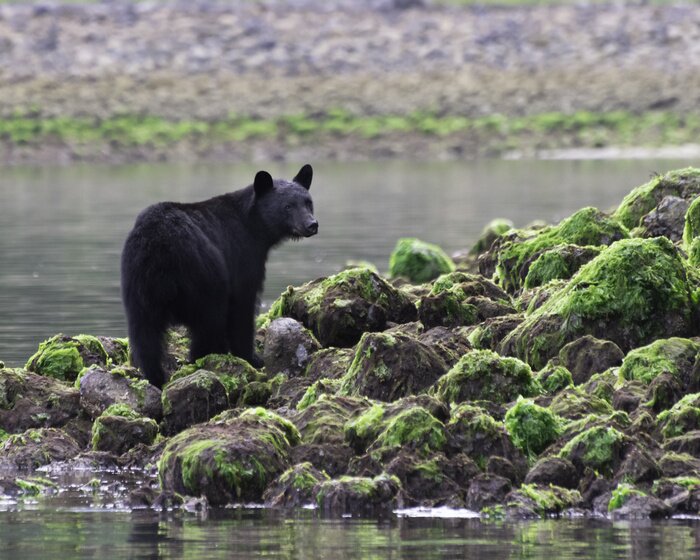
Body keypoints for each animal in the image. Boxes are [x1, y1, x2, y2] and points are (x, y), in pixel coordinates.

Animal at [121, 164, 318, 388]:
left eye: (308, 202)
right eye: (288, 206)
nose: (311, 224)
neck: (253, 225)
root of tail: (159, 246)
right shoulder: (242, 255)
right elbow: (242, 305)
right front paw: (252, 357)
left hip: (138, 283)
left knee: (144, 333)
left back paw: (156, 377)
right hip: (203, 273)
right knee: (209, 319)